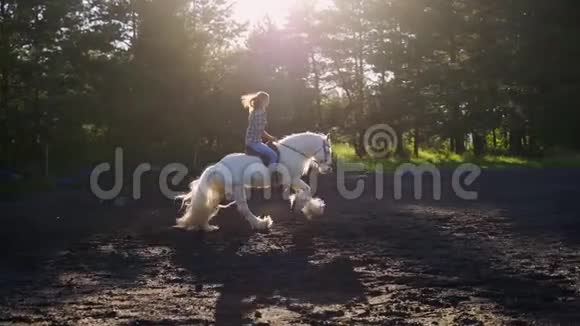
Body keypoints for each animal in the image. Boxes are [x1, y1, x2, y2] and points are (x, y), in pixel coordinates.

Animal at [174, 132, 334, 232]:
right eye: (328, 150)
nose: (328, 169)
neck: (293, 153)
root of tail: (217, 166)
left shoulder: (294, 180)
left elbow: (307, 191)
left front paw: (311, 208)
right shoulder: (293, 178)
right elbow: (307, 191)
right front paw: (301, 205)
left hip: (221, 191)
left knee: (209, 205)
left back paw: (206, 227)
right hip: (238, 189)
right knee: (243, 209)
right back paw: (261, 224)